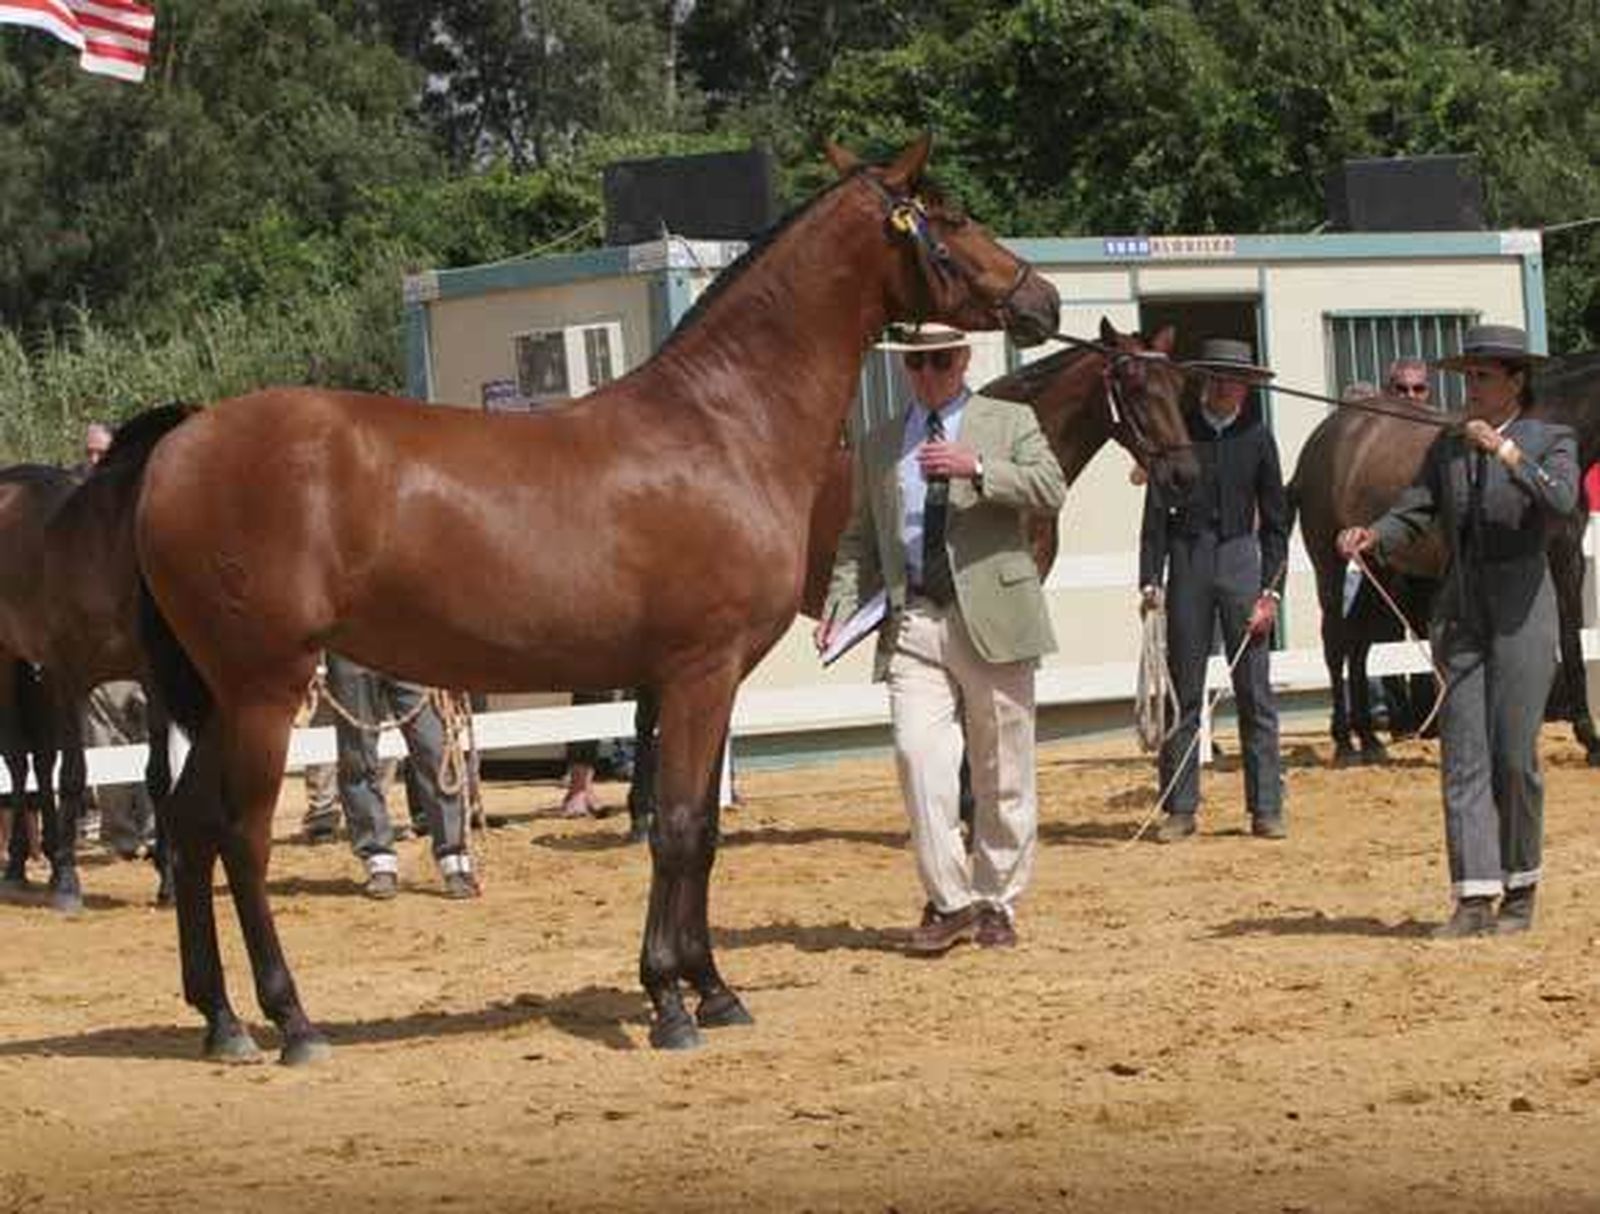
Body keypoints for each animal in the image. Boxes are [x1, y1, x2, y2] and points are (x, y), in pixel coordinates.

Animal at [0, 413, 187, 909]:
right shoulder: (69, 680)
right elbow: (74, 774)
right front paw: (69, 883)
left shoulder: (152, 685)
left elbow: (157, 774)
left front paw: (168, 881)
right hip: (9, 662)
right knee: (20, 759)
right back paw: (19, 867)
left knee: (41, 760)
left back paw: (44, 861)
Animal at [129, 136, 1063, 1061]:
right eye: (950, 217)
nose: (1042, 297)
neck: (723, 426)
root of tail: (176, 449)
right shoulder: (697, 673)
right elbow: (678, 826)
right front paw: (671, 1001)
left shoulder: (709, 682)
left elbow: (702, 830)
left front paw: (713, 991)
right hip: (263, 689)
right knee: (240, 837)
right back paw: (292, 1021)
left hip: (223, 698)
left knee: (188, 823)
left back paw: (220, 1020)